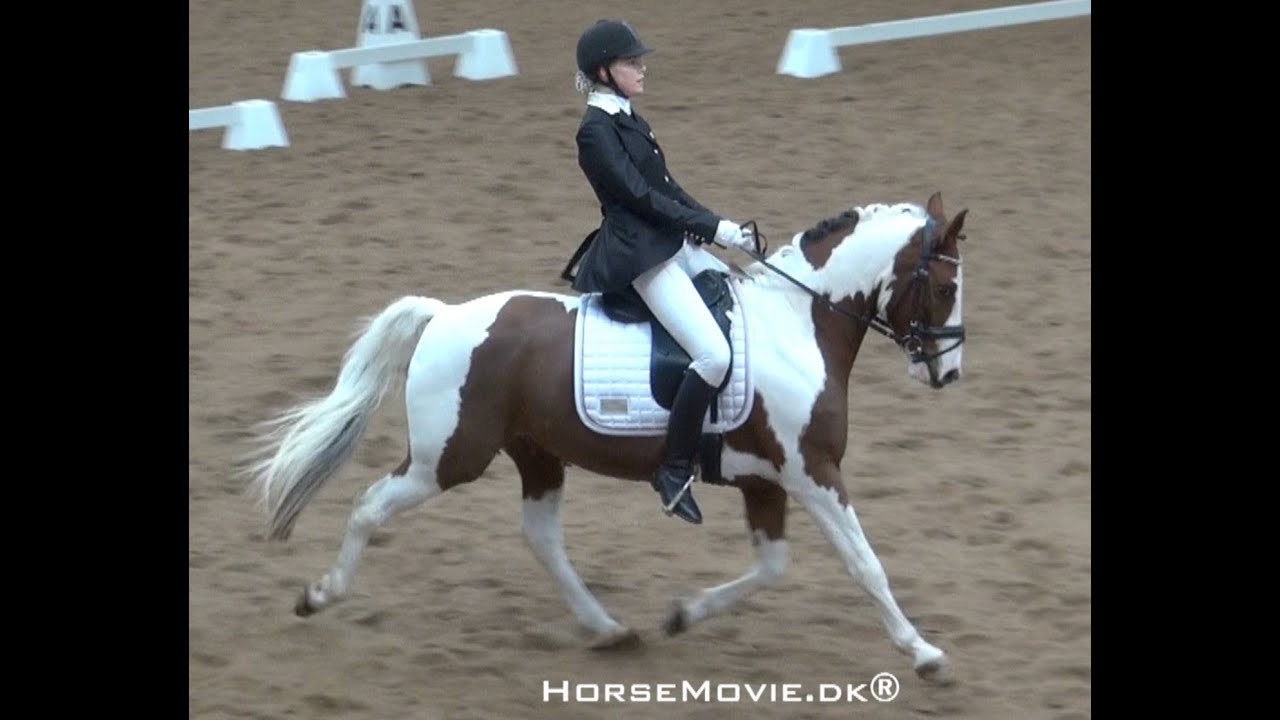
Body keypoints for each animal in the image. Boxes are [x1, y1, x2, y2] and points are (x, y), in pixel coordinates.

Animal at [243, 191, 969, 682]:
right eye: (944, 285)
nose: (950, 372)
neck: (796, 324)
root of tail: (444, 315)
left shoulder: (765, 481)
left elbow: (773, 566)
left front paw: (683, 614)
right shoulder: (811, 471)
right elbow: (864, 563)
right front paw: (924, 652)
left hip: (536, 454)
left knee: (541, 536)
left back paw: (609, 629)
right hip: (447, 459)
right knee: (371, 507)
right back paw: (318, 596)